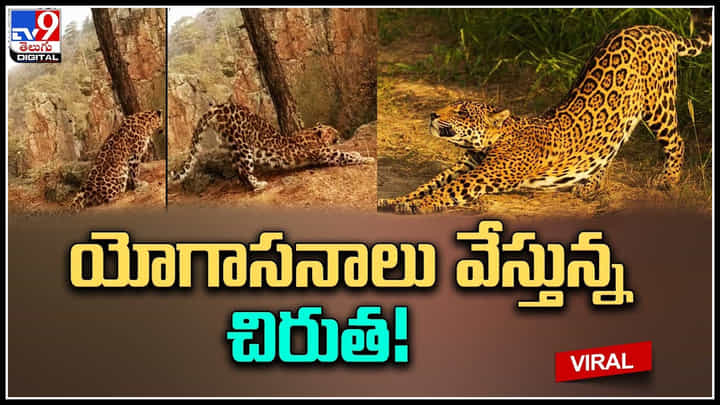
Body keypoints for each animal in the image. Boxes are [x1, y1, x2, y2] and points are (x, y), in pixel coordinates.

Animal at [170, 102, 375, 190]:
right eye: (333, 131)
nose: (340, 134)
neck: (312, 135)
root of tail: (218, 106)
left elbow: (348, 151)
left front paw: (358, 152)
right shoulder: (327, 155)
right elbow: (345, 155)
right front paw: (367, 158)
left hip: (231, 146)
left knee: (238, 170)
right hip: (243, 147)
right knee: (244, 171)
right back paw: (259, 185)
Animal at [378, 25, 712, 214]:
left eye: (461, 111)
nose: (433, 114)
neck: (487, 144)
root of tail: (654, 28)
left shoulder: (483, 174)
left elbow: (447, 191)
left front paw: (418, 205)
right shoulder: (466, 166)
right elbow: (429, 184)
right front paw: (395, 200)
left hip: (659, 103)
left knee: (677, 141)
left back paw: (668, 181)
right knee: (609, 150)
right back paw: (589, 185)